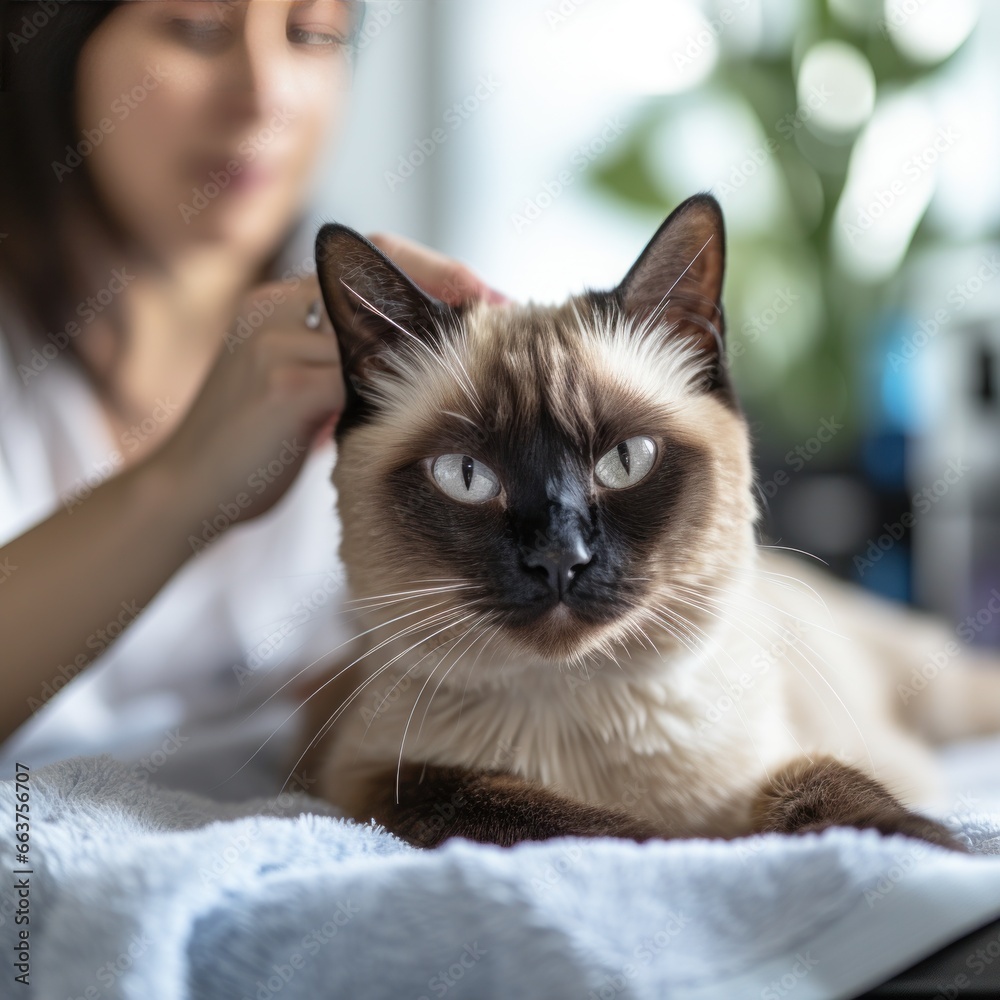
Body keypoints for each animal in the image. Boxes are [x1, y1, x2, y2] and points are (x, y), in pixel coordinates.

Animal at [298, 195, 1000, 852]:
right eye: (466, 475)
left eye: (626, 460)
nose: (559, 557)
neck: (571, 708)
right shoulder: (377, 780)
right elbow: (571, 822)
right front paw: (694, 845)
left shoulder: (779, 765)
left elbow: (817, 783)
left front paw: (929, 848)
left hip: (939, 695)